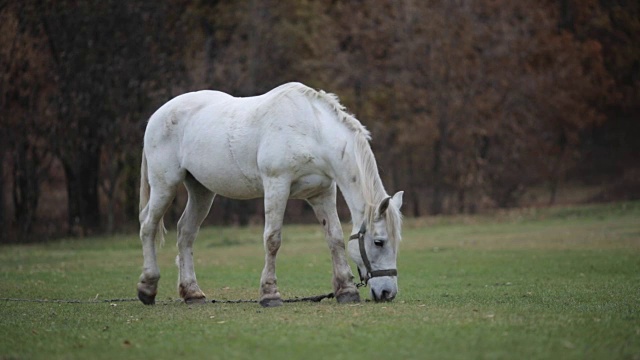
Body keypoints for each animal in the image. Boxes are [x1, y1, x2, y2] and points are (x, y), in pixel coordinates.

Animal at [138, 82, 402, 306]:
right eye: (379, 242)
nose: (388, 293)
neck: (312, 130)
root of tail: (158, 114)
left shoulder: (322, 192)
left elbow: (335, 238)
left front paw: (346, 290)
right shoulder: (277, 185)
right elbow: (273, 239)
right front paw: (270, 294)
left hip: (201, 191)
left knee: (186, 233)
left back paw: (192, 293)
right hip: (165, 185)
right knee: (148, 226)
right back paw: (147, 288)